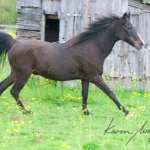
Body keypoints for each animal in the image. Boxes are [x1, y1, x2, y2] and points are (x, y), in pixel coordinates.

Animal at [0, 12, 144, 117]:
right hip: (23, 75)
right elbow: (111, 93)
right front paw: (127, 112)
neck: (93, 47)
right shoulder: (95, 77)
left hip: (15, 74)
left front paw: (86, 112)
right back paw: (26, 111)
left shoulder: (85, 78)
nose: (141, 44)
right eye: (128, 26)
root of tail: (15, 43)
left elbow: (85, 95)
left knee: (3, 87)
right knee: (14, 91)